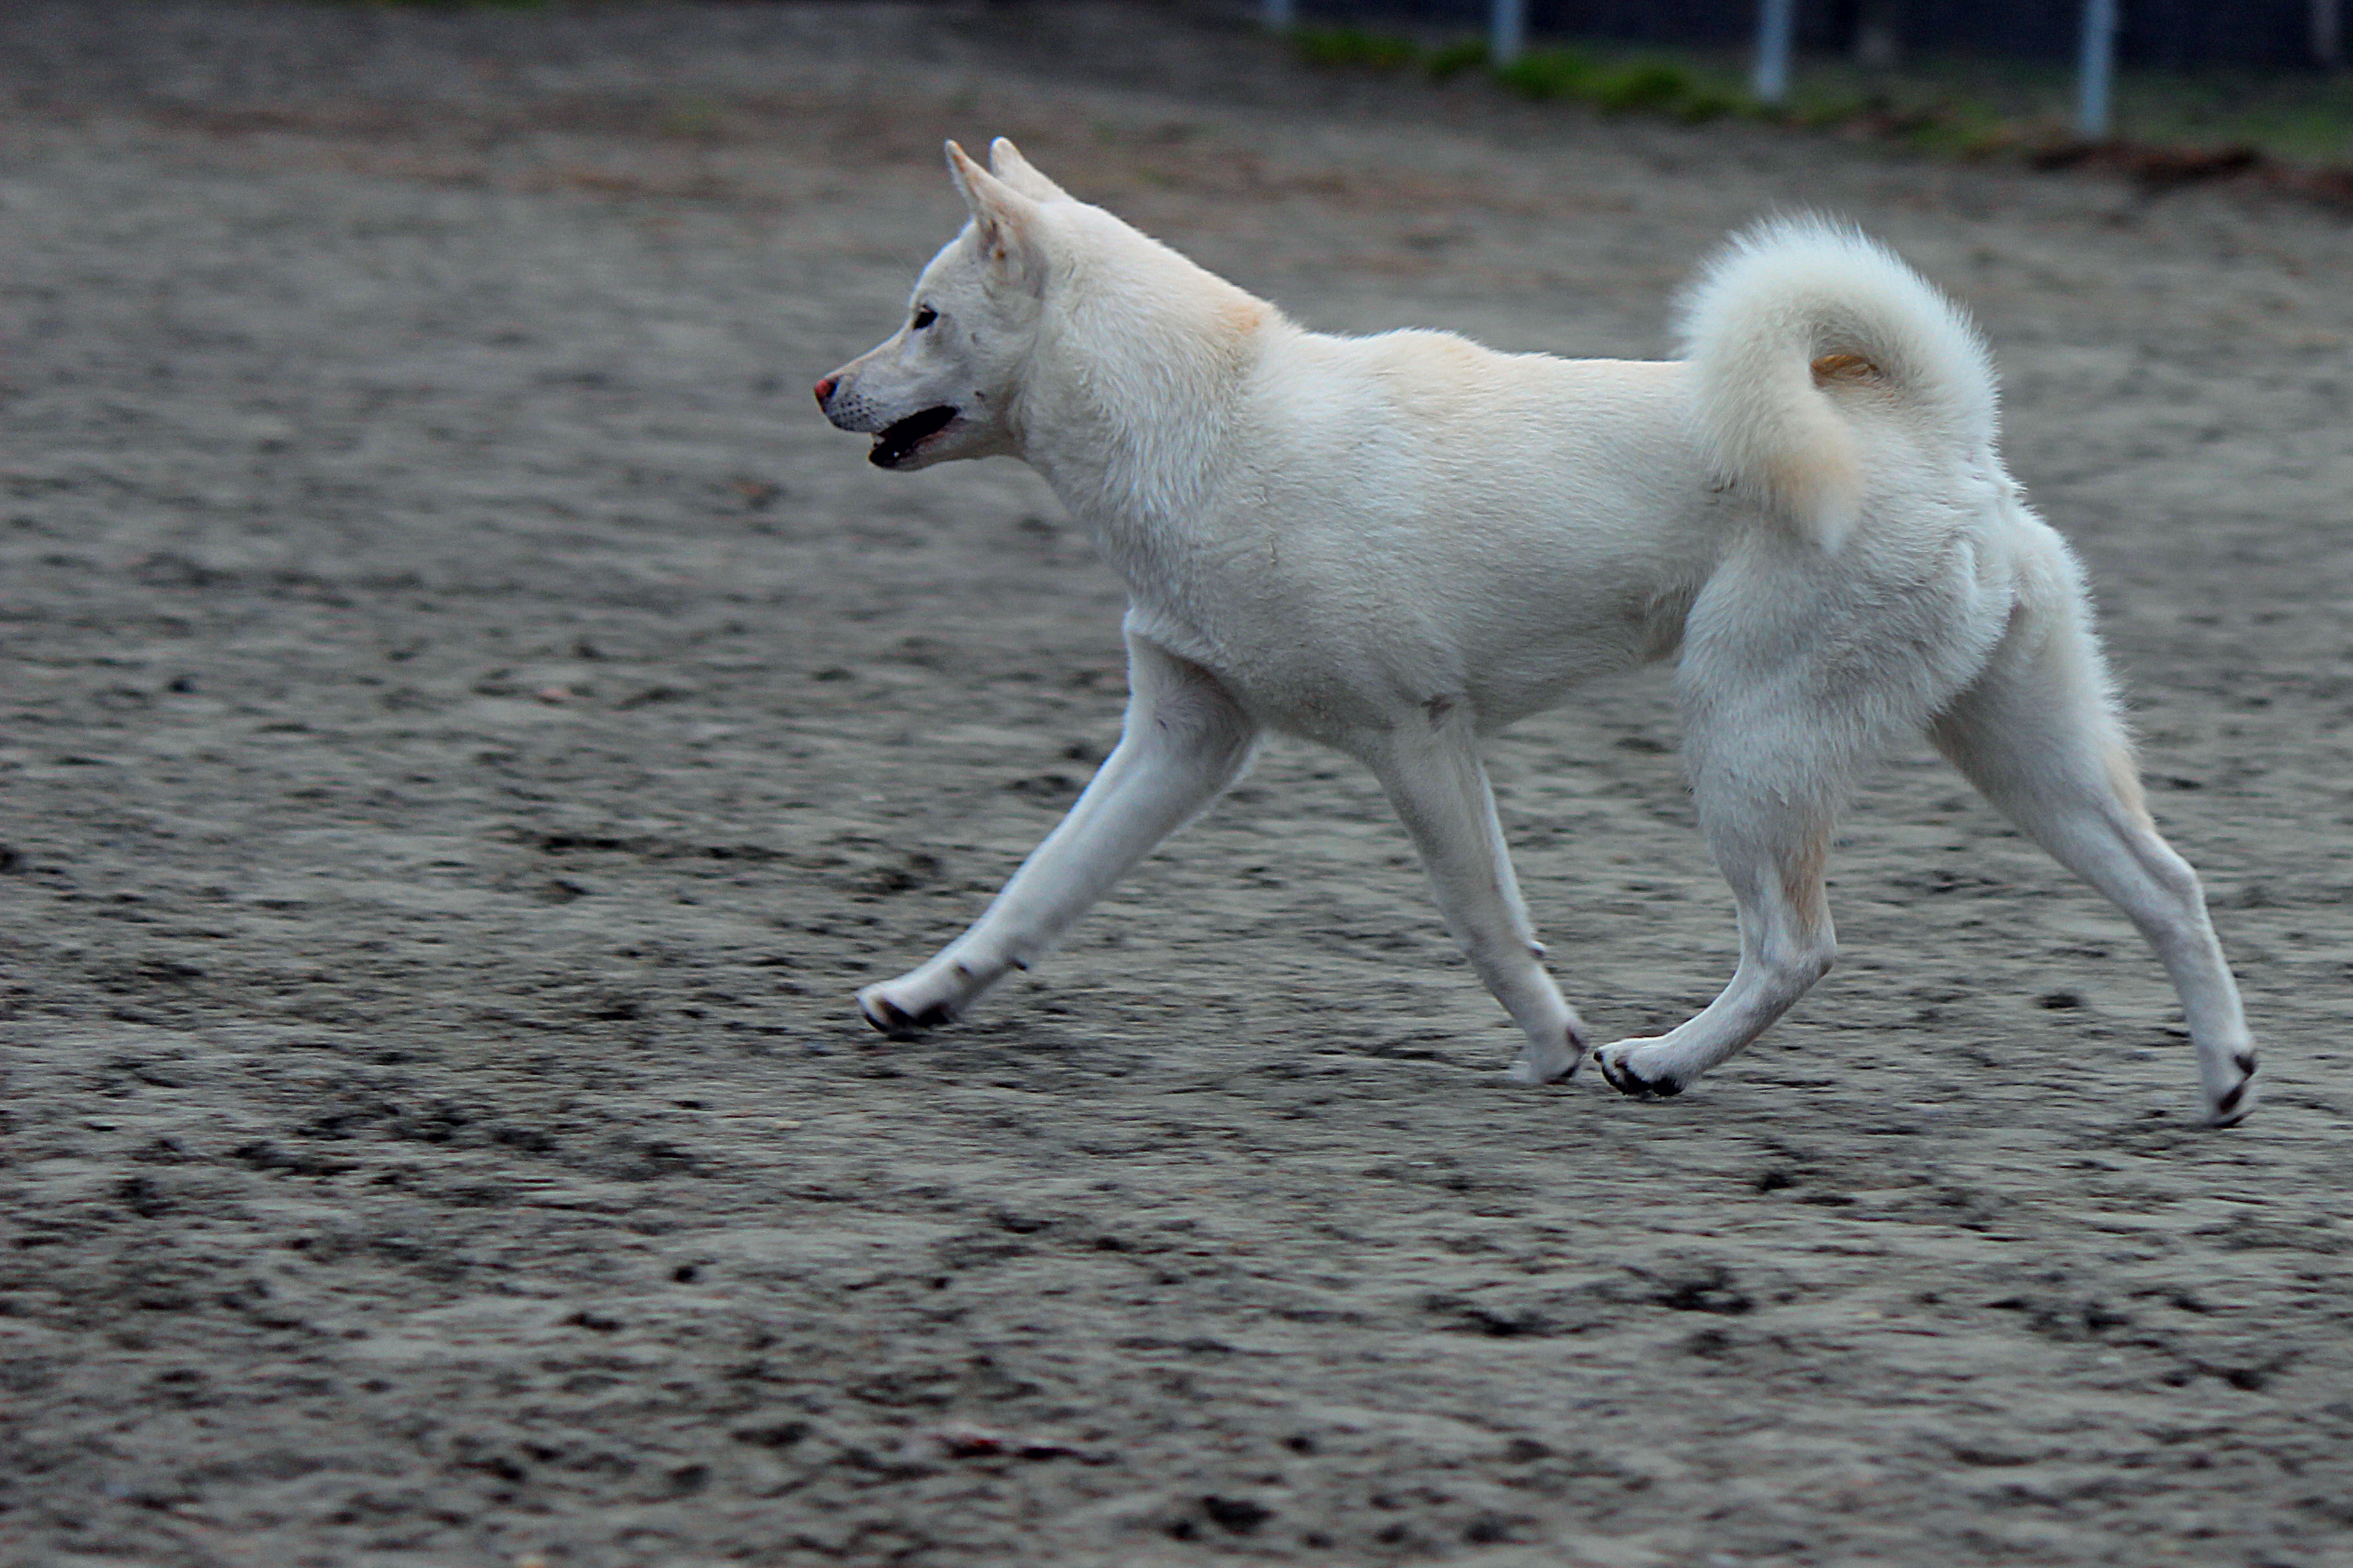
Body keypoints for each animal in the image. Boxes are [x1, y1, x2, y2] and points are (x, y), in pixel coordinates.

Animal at [814, 131, 2258, 1111]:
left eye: (923, 317)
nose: (824, 386)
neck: (1207, 420)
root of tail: (1943, 431)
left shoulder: (1418, 740)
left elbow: (1486, 924)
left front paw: (1552, 1046)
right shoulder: (1183, 739)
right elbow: (1035, 889)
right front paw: (922, 997)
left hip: (1745, 741)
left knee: (1796, 947)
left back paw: (1658, 1062)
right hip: (2020, 754)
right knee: (2170, 886)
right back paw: (2224, 1077)